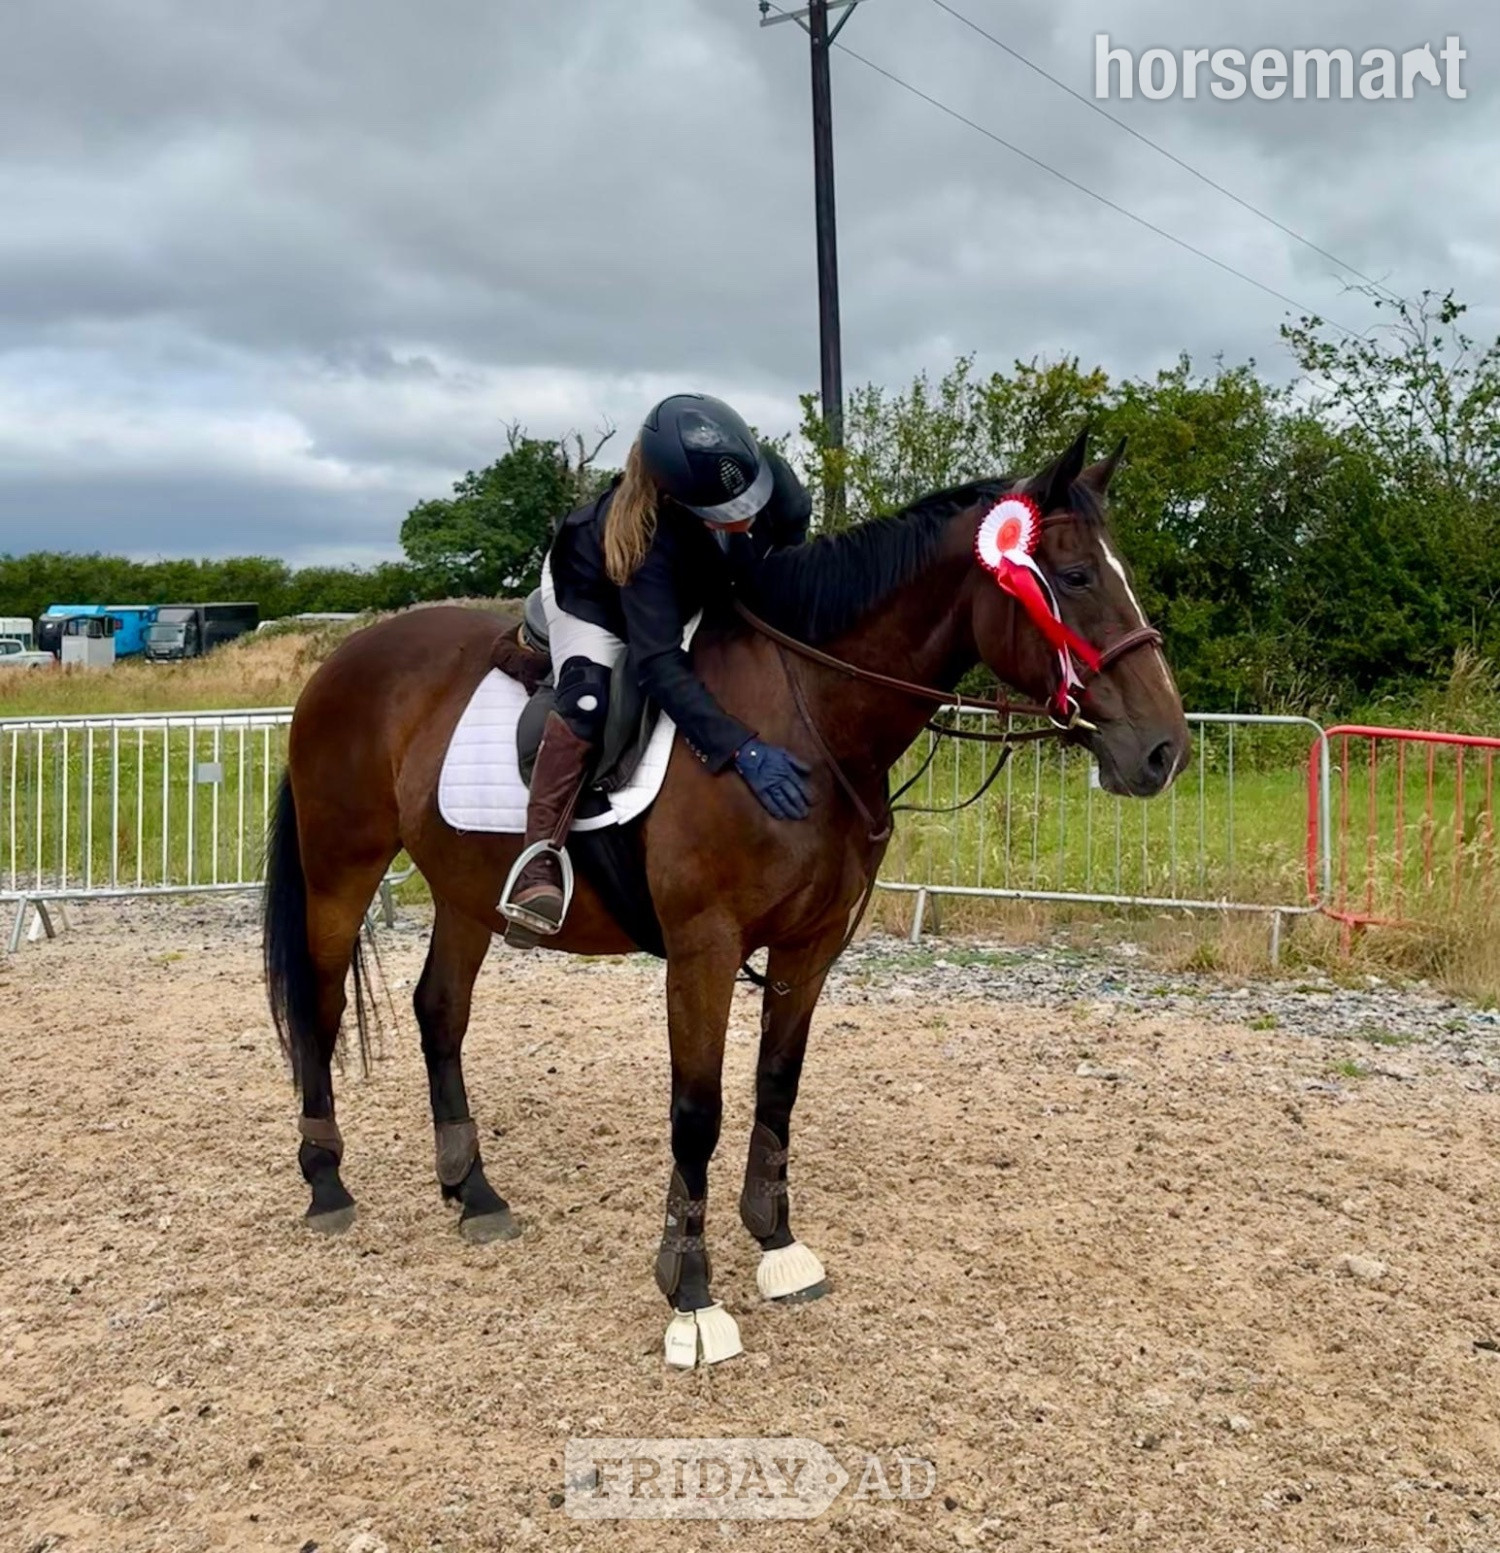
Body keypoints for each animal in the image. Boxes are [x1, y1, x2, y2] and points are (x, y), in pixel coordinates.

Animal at [262, 428, 1189, 1368]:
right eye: (1074, 577)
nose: (1163, 750)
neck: (806, 718)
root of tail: (340, 663)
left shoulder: (810, 945)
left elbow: (777, 1086)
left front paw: (777, 1245)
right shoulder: (703, 949)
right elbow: (697, 1111)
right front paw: (693, 1294)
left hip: (466, 890)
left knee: (440, 1011)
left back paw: (474, 1192)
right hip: (340, 869)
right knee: (320, 1007)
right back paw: (327, 1181)